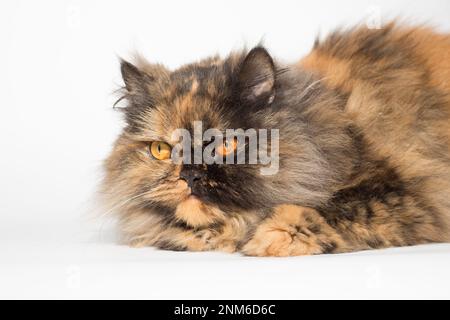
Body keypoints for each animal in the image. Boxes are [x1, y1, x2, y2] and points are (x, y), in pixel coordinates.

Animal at [102, 23, 450, 258]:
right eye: (161, 150)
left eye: (226, 144)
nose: (190, 174)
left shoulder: (404, 196)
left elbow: (326, 209)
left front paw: (267, 239)